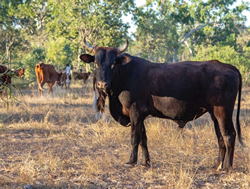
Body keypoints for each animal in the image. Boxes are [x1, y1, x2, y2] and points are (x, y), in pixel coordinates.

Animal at [80, 37, 242, 171]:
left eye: (113, 64)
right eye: (96, 63)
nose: (102, 84)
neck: (125, 75)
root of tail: (228, 66)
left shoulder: (135, 112)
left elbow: (135, 138)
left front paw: (132, 161)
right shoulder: (141, 115)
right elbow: (143, 139)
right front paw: (146, 162)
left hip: (223, 112)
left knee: (229, 135)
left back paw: (227, 167)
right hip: (214, 115)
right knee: (220, 137)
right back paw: (217, 165)